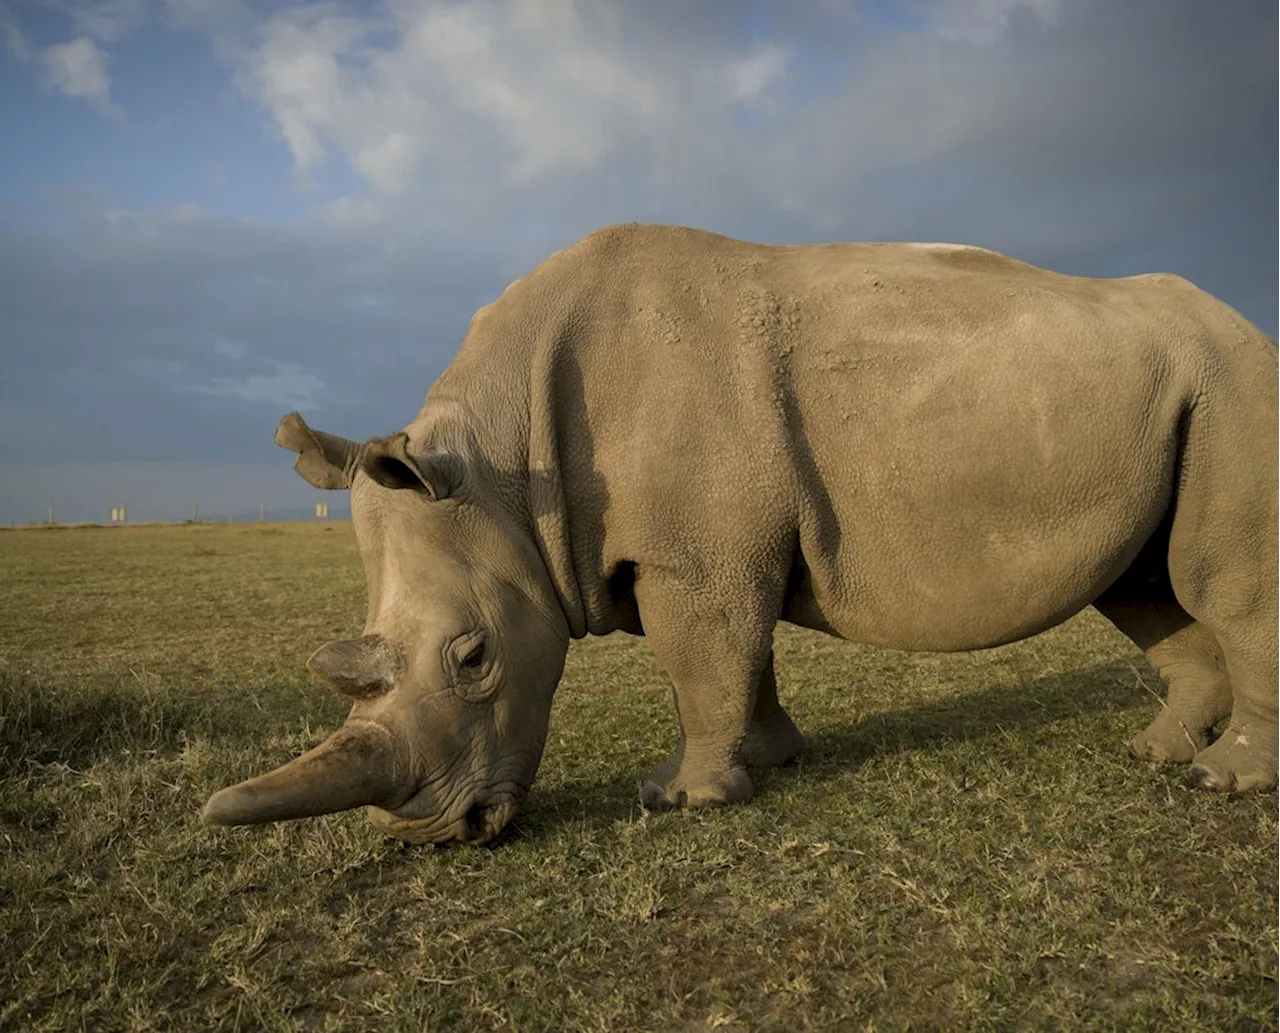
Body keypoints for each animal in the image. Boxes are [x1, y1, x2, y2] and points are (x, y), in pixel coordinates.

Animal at [199, 222, 1280, 844]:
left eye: (472, 658)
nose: (440, 827)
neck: (506, 468)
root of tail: (1241, 323)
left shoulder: (692, 555)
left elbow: (700, 657)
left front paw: (681, 801)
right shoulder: (709, 549)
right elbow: (736, 656)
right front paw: (768, 760)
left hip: (1235, 381)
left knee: (1219, 584)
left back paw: (1223, 781)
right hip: (1167, 394)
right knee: (1142, 585)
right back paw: (1157, 753)